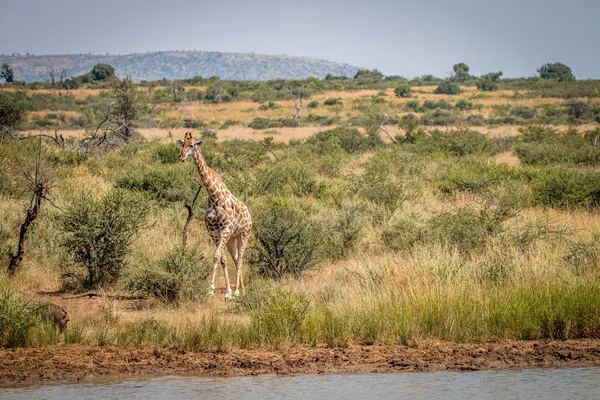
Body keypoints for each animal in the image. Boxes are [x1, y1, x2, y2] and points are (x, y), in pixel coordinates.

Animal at [178, 132, 253, 300]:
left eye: (192, 145)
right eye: (182, 144)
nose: (181, 157)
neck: (214, 196)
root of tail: (249, 214)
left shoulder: (225, 229)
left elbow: (216, 255)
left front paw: (215, 290)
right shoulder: (213, 231)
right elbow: (222, 259)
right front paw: (224, 291)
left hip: (244, 234)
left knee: (240, 260)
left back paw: (238, 291)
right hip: (233, 238)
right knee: (235, 258)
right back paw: (242, 289)